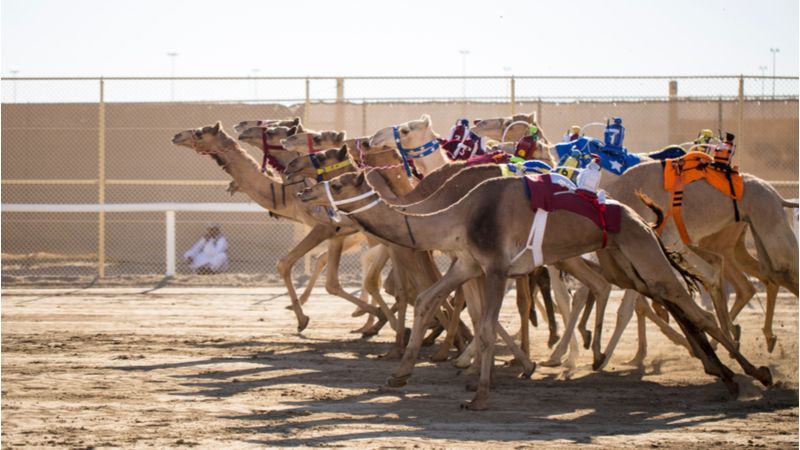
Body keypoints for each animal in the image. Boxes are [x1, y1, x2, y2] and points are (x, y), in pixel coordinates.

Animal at [172, 121, 390, 332]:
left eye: (199, 133)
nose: (177, 136)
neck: (292, 196)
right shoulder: (339, 232)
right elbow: (328, 275)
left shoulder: (327, 228)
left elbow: (287, 264)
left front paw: (302, 319)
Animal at [296, 171, 772, 410]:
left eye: (340, 182)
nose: (303, 191)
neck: (458, 215)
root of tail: (640, 217)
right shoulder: (468, 262)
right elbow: (428, 298)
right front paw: (398, 375)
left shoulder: (495, 266)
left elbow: (487, 327)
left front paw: (480, 396)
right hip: (624, 260)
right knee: (668, 300)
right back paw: (725, 376)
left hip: (640, 249)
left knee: (691, 304)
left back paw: (757, 375)